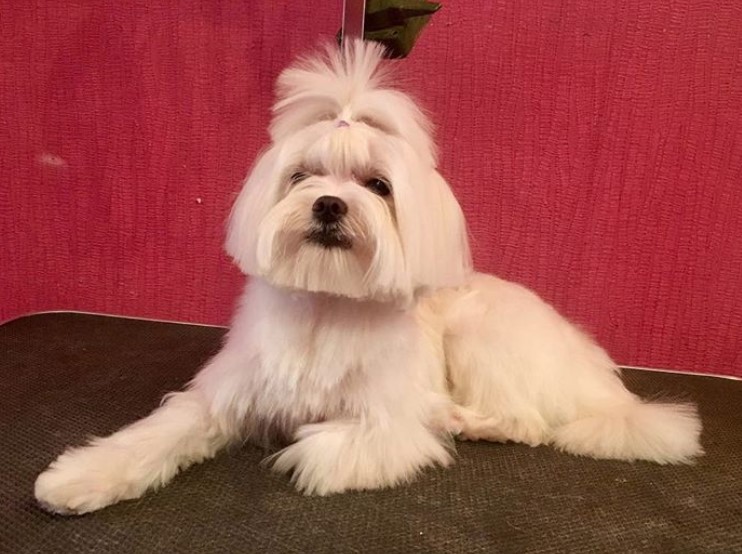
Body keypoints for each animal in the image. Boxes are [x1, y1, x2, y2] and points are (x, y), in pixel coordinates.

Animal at [35, 42, 704, 512]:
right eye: (302, 176)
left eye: (378, 186)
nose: (329, 204)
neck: (327, 304)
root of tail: (597, 377)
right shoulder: (224, 393)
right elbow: (161, 431)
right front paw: (81, 477)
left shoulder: (392, 420)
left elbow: (347, 441)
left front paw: (308, 449)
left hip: (479, 337)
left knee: (528, 423)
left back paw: (468, 422)